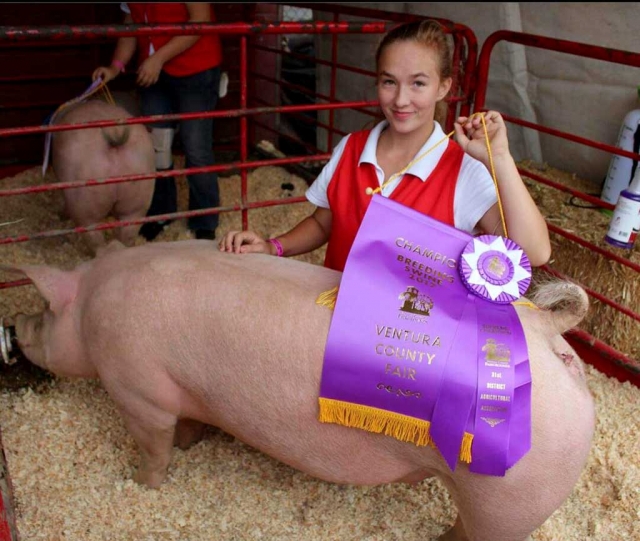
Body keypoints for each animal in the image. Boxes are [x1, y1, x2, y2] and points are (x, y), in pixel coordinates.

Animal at [2, 240, 596, 540]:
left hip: (511, 494)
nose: (18, 327)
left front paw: (140, 484)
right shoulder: (184, 389)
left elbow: (154, 445)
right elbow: (189, 425)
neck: (90, 306)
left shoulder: (138, 387)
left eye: (45, 310)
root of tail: (544, 327)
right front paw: (191, 445)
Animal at [50, 98, 155, 253]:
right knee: (128, 232)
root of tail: (114, 133)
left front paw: (61, 215)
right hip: (139, 196)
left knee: (94, 236)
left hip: (85, 201)